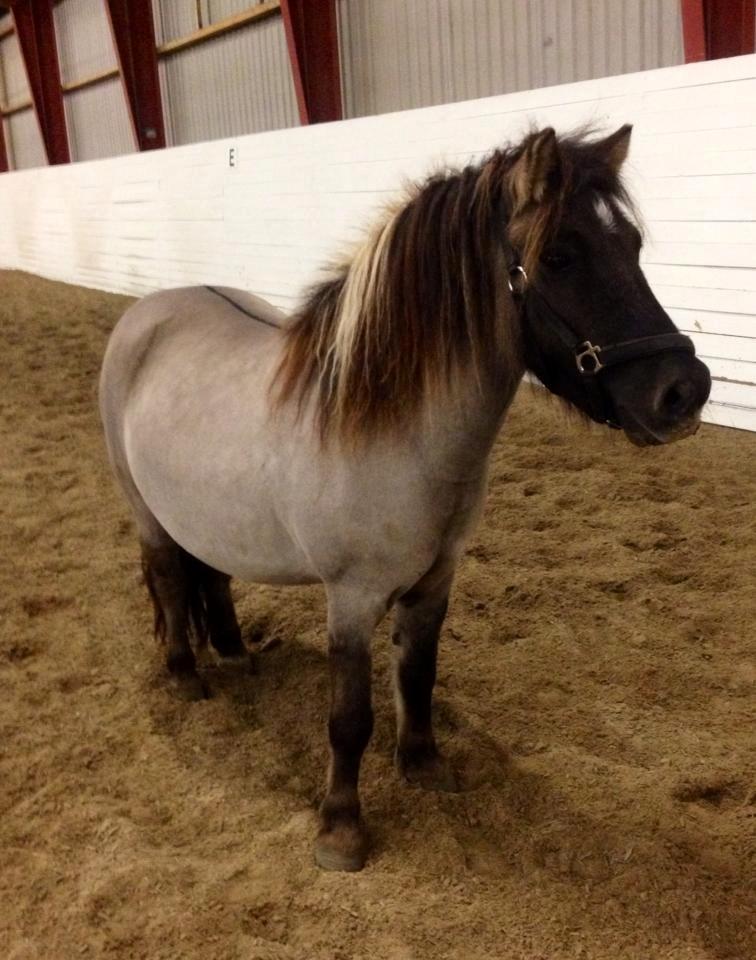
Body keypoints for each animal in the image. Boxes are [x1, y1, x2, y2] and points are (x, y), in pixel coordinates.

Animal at [99, 125, 711, 872]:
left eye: (634, 246)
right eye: (560, 256)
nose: (683, 392)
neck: (389, 429)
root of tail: (147, 313)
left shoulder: (434, 583)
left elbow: (418, 676)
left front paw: (423, 766)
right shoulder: (351, 599)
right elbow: (348, 718)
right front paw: (340, 830)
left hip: (211, 520)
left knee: (211, 574)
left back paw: (236, 656)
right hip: (149, 516)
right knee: (167, 577)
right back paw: (187, 677)